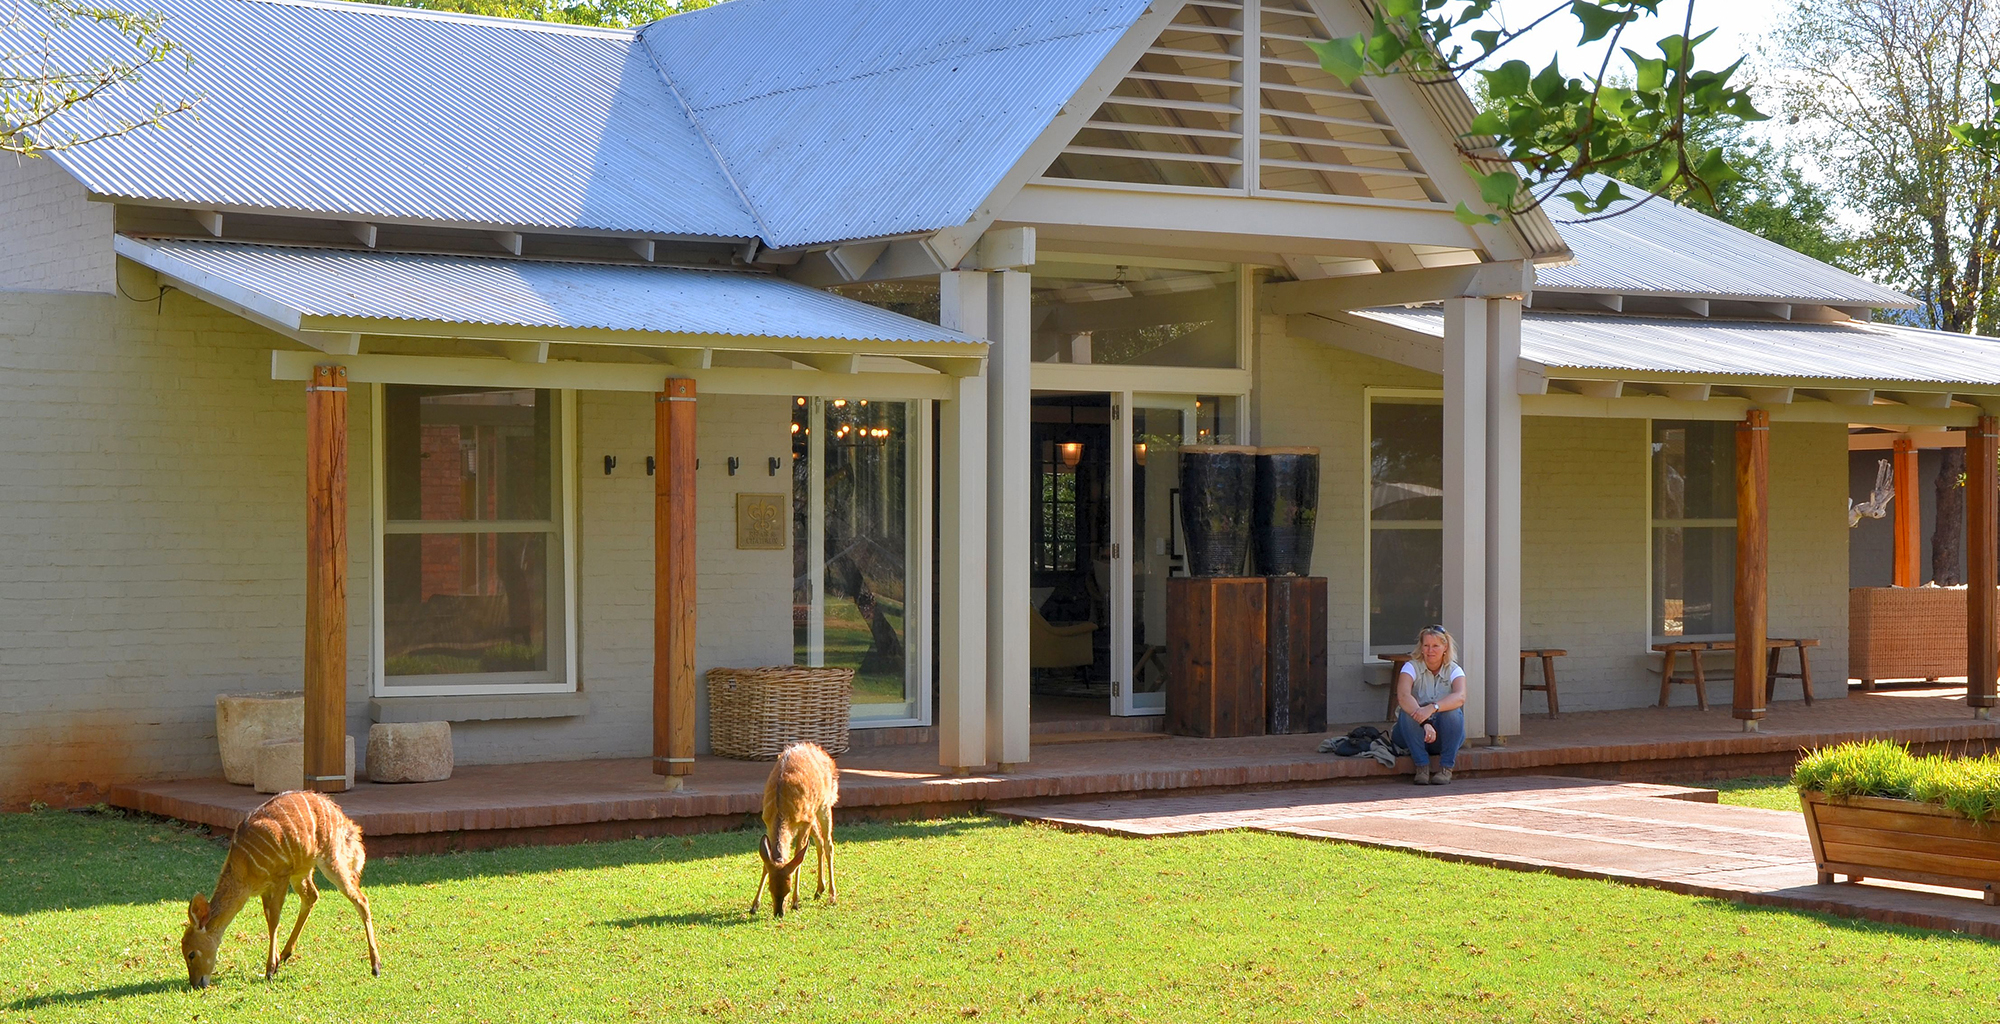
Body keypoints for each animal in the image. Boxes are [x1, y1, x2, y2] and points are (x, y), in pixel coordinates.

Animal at [182, 788, 384, 988]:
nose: (196, 984)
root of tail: (342, 817)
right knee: (312, 896)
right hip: (303, 870)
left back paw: (376, 966)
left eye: (191, 954)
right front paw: (276, 962)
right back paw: (286, 954)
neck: (243, 869)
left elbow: (275, 919)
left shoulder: (281, 876)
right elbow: (269, 918)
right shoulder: (265, 888)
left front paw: (270, 970)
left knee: (360, 899)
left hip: (330, 860)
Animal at [752, 740, 840, 916]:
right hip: (813, 814)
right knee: (820, 841)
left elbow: (799, 855)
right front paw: (754, 905)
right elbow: (767, 860)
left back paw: (832, 896)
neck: (781, 810)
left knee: (828, 844)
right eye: (771, 889)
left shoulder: (804, 822)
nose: (779, 913)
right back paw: (819, 890)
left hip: (824, 805)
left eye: (788, 889)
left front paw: (795, 902)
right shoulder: (767, 822)